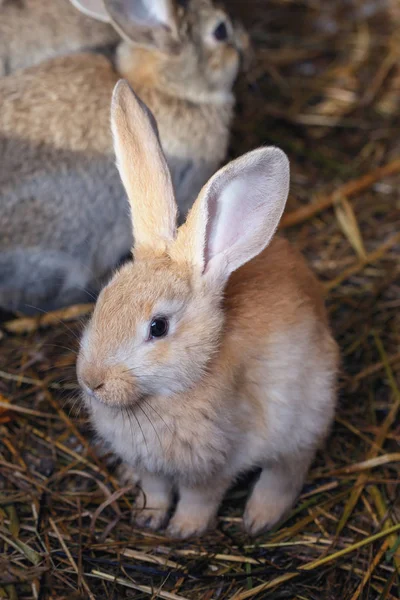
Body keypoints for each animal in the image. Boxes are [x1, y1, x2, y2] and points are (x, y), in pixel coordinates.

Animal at [76, 81, 340, 540]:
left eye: (158, 327)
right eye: (103, 300)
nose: (92, 381)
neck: (168, 392)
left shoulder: (216, 463)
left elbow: (200, 498)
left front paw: (184, 530)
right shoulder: (153, 469)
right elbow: (154, 489)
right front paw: (147, 517)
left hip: (305, 417)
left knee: (286, 473)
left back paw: (259, 518)